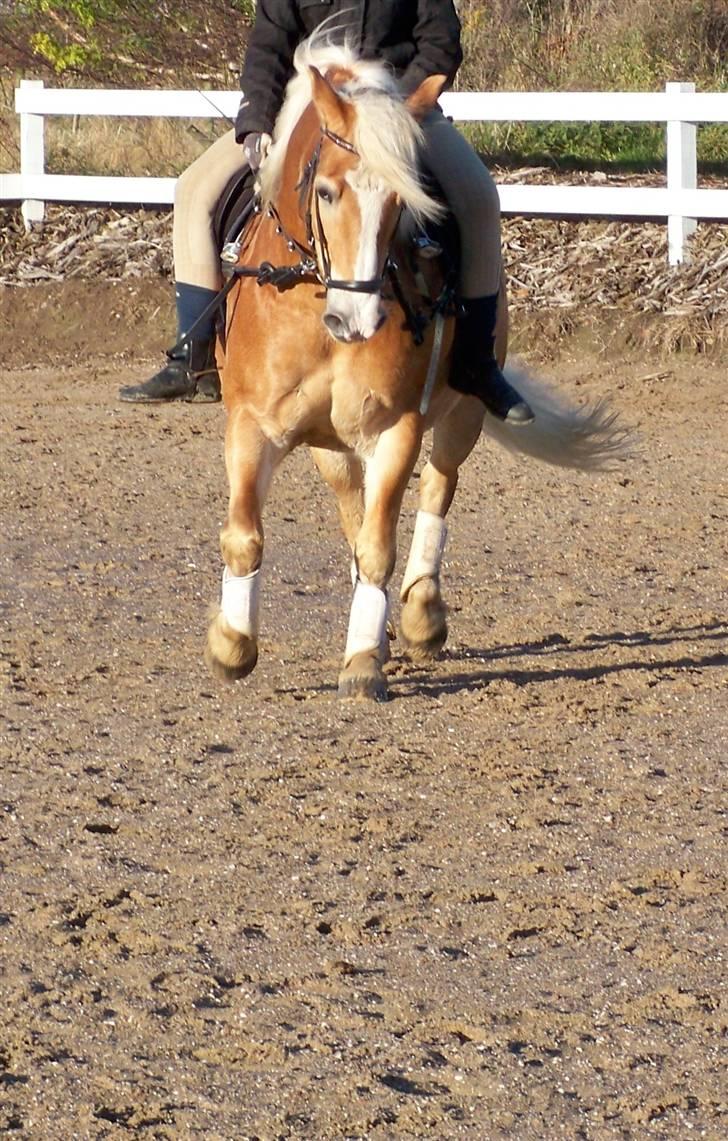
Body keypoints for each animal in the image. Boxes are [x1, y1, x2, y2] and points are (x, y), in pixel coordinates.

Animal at [204, 35, 629, 698]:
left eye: (403, 201)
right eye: (326, 191)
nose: (356, 319)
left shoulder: (396, 428)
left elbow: (382, 545)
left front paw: (362, 662)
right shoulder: (253, 425)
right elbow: (246, 536)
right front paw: (232, 645)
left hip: (461, 417)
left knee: (436, 488)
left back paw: (420, 615)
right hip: (331, 447)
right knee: (354, 513)